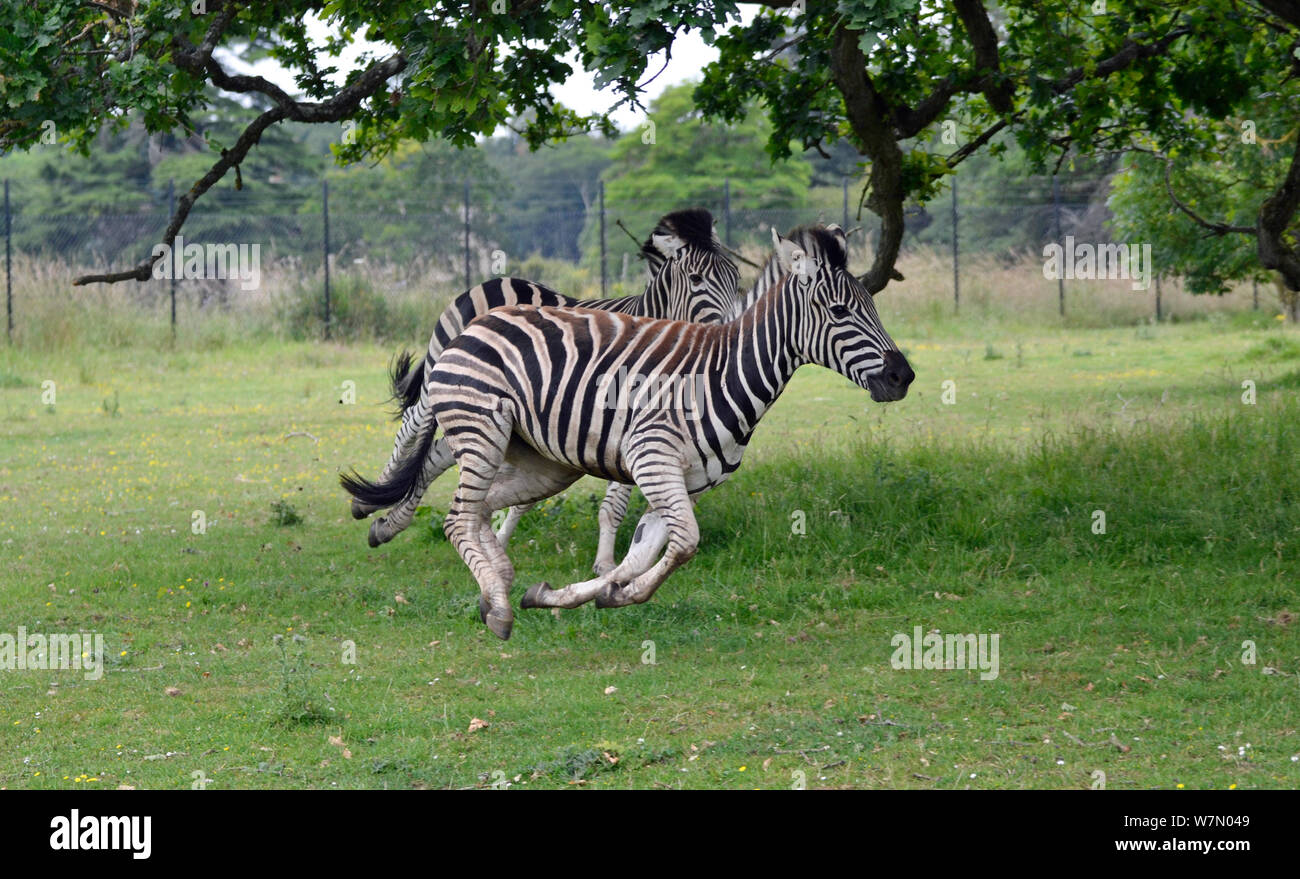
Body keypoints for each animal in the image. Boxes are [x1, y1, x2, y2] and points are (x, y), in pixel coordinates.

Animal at [341, 207, 742, 549]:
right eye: (696, 279)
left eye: (738, 280)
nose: (729, 335)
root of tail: (490, 280)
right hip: (447, 371)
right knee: (414, 422)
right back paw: (369, 501)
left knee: (440, 449)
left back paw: (389, 519)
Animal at [415, 226, 914, 639]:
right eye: (840, 311)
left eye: (873, 306)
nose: (902, 377)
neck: (725, 375)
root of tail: (479, 319)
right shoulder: (650, 458)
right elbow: (685, 544)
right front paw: (615, 594)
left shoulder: (684, 482)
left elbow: (639, 556)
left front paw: (569, 595)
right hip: (482, 431)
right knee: (458, 517)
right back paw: (498, 607)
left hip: (546, 466)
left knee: (482, 507)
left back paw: (495, 585)